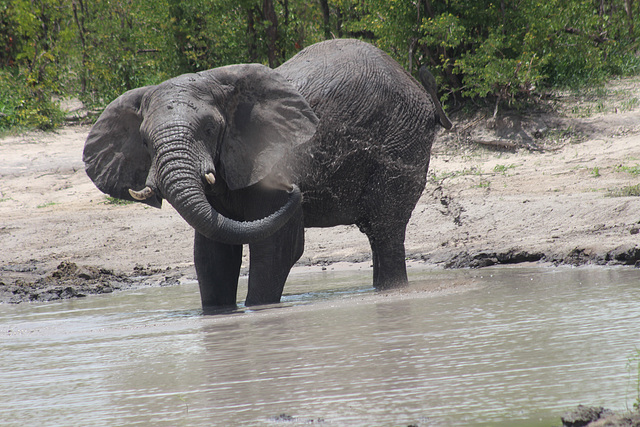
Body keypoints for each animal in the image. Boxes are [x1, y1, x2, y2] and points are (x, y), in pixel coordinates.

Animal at [82, 38, 452, 310]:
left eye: (209, 129)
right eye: (145, 140)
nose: (296, 188)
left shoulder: (269, 157)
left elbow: (276, 247)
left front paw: (257, 311)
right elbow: (212, 252)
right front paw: (217, 315)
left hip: (401, 140)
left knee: (385, 229)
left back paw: (391, 292)